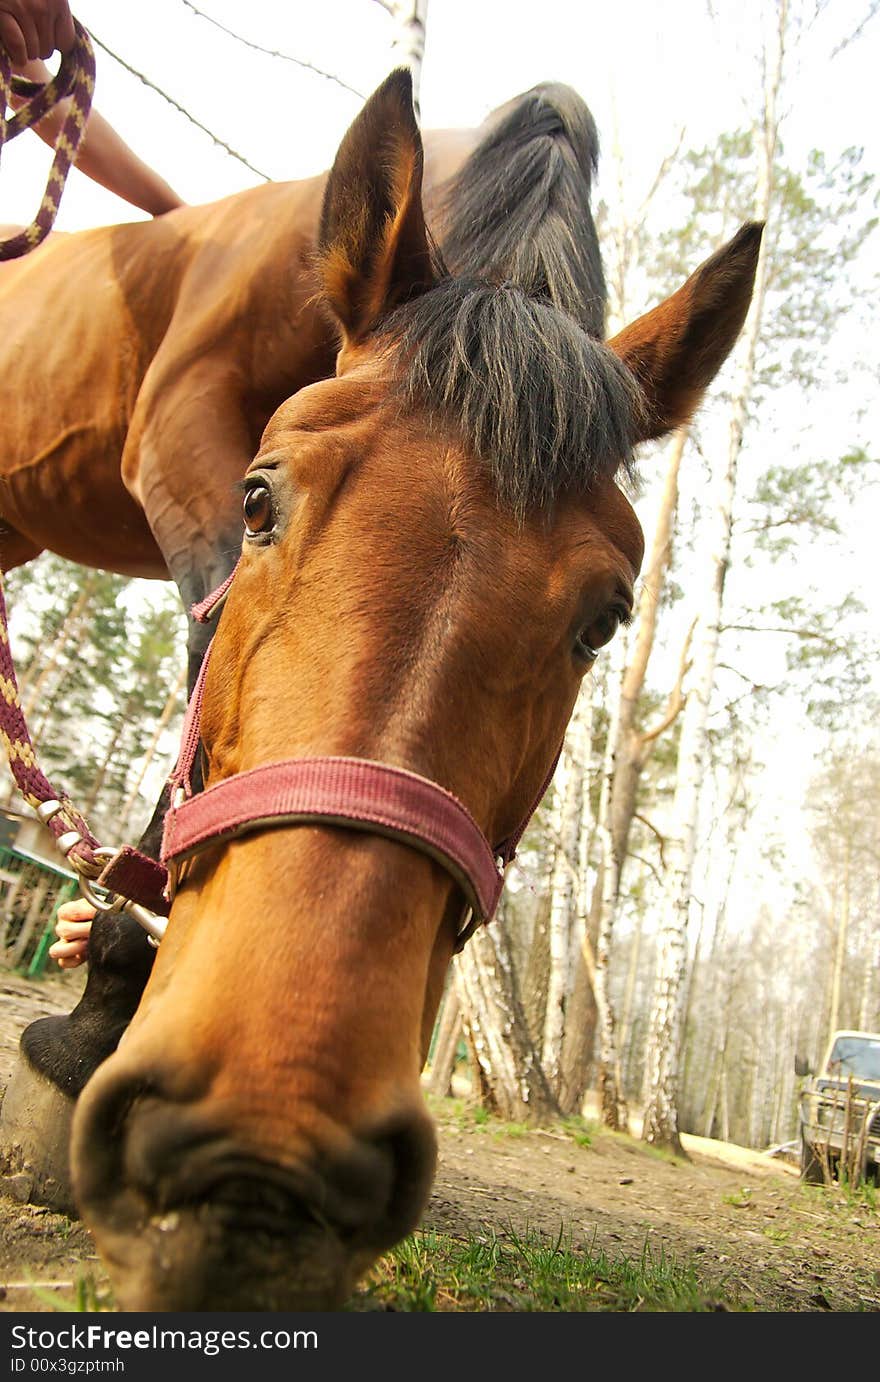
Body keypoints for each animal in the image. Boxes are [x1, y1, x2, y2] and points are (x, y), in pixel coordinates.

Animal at [1, 72, 757, 1304]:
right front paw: (95, 1011)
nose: (261, 1150)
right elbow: (200, 637)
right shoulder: (179, 428)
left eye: (604, 619)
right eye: (261, 500)